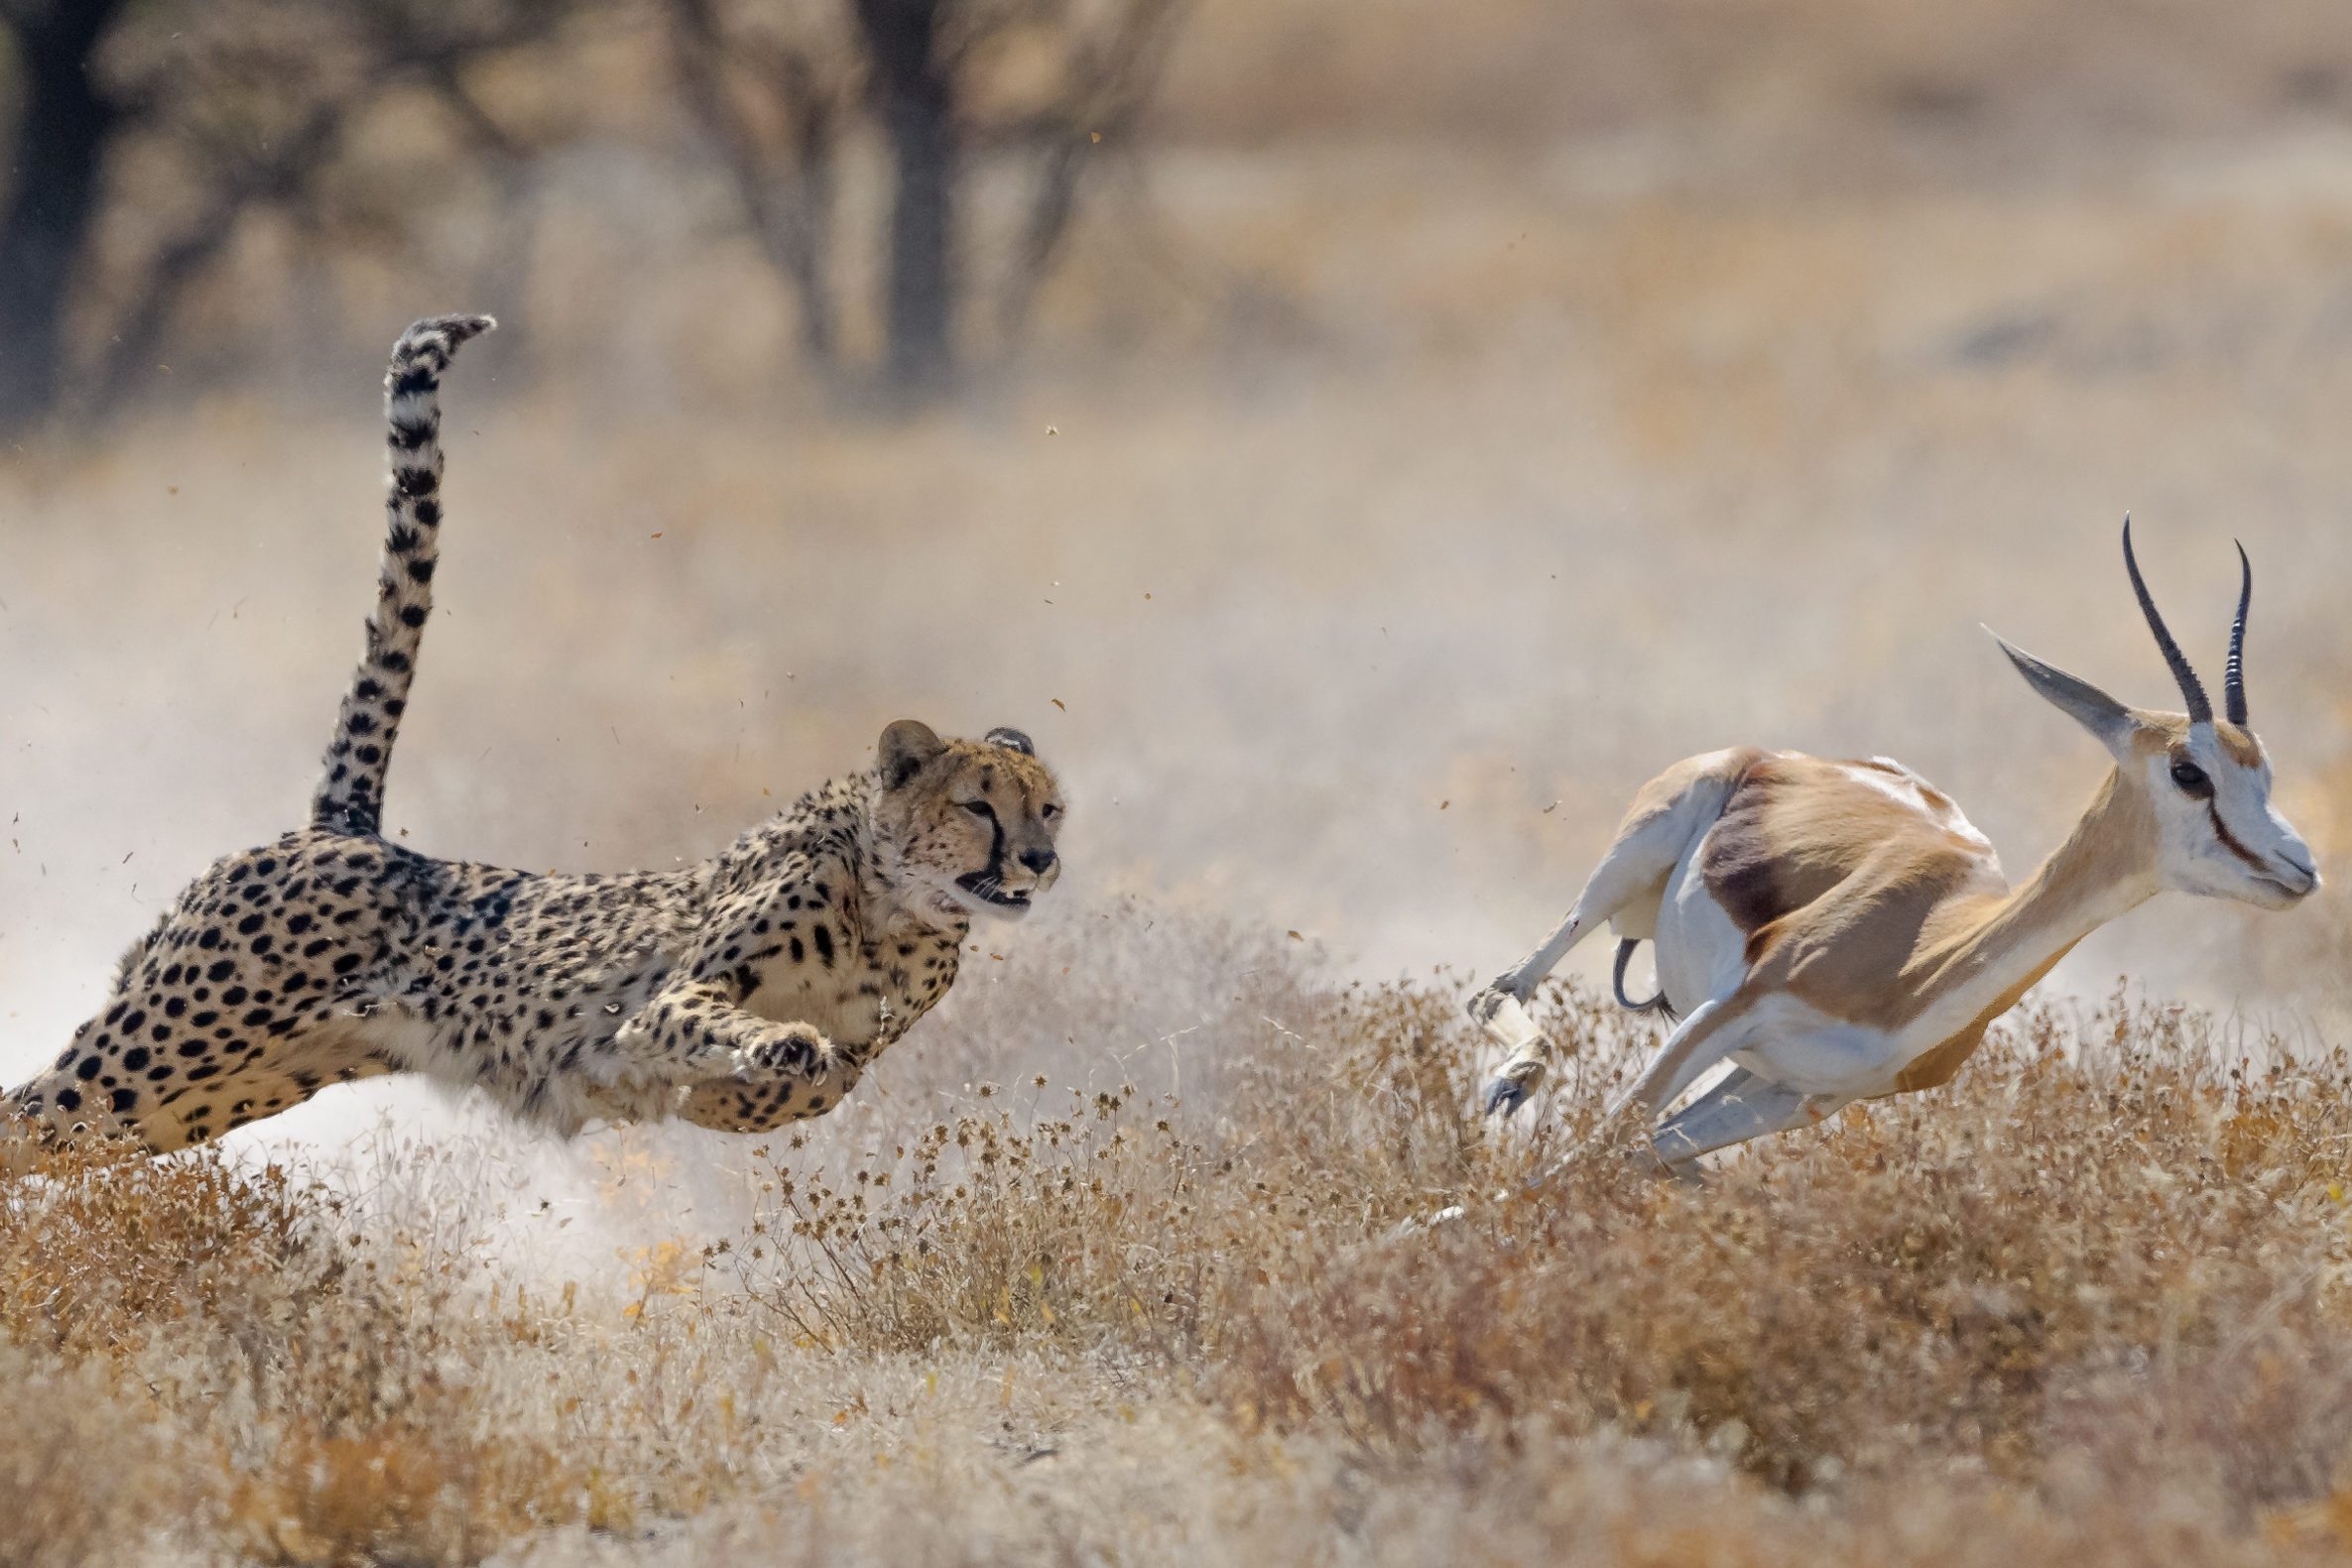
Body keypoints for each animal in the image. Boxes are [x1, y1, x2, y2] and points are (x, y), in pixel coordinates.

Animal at [2, 314, 1067, 1165]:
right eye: (979, 806)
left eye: (1050, 808)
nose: (1041, 860)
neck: (895, 910)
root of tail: (346, 828)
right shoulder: (666, 999)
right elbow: (724, 1025)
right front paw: (768, 1050)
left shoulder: (853, 1046)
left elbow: (821, 1081)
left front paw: (748, 1083)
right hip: (159, 1049)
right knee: (22, 1113)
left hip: (196, 1093)